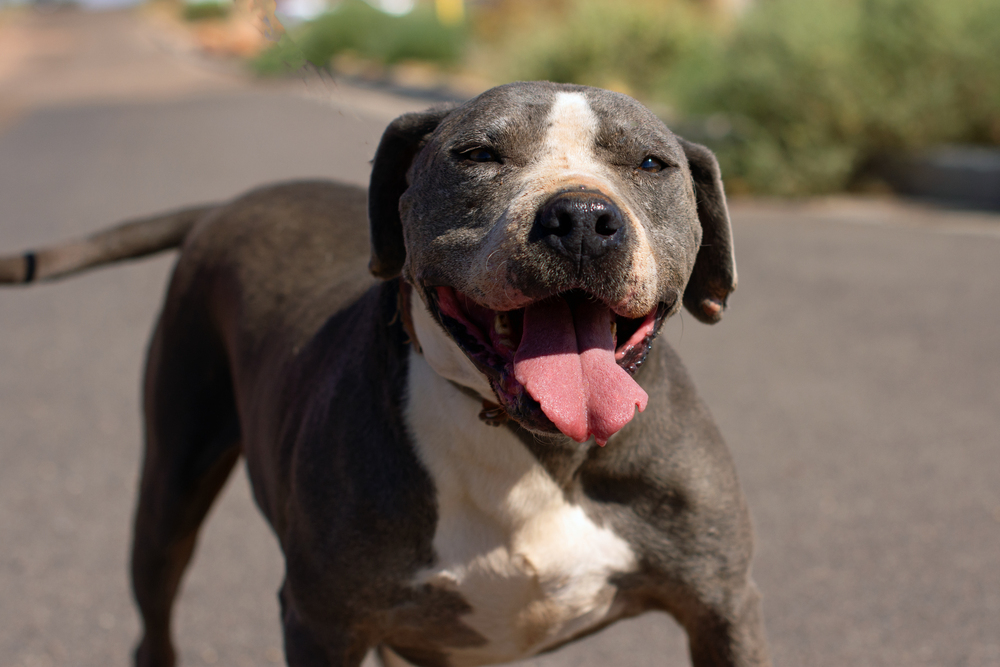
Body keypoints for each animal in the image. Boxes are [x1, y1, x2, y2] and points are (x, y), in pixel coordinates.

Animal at [0, 81, 772, 664]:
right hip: (170, 485)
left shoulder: (723, 607)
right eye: (477, 153)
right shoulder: (321, 620)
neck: (534, 448)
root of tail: (229, 203)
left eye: (651, 164)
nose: (581, 216)